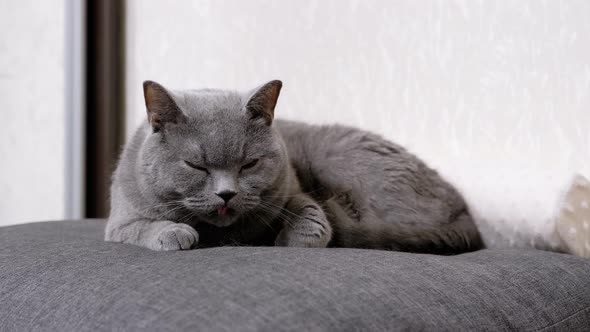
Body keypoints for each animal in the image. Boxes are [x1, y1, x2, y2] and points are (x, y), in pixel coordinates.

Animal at [106, 80, 486, 254]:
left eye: (249, 164)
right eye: (196, 166)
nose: (226, 194)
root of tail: (464, 212)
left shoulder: (291, 186)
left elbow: (310, 211)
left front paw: (293, 239)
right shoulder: (121, 219)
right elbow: (139, 227)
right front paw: (175, 233)